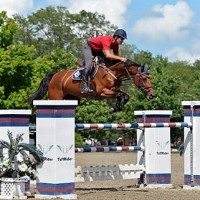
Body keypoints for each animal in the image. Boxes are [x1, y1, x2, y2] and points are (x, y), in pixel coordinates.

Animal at [27, 58, 155, 113]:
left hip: (72, 99)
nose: (152, 95)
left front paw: (116, 108)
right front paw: (115, 107)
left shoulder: (114, 90)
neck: (113, 73)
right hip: (56, 97)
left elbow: (125, 95)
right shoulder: (102, 92)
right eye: (144, 78)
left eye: (150, 78)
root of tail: (54, 75)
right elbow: (121, 95)